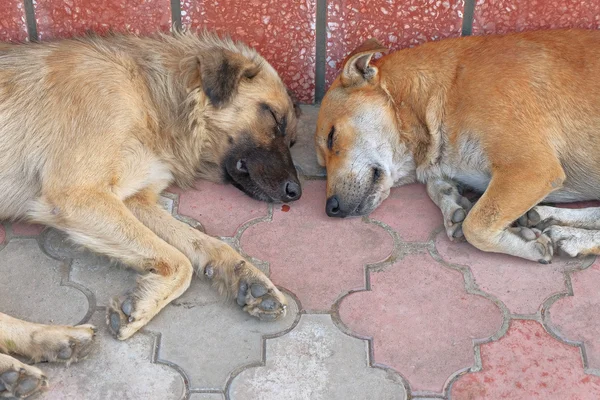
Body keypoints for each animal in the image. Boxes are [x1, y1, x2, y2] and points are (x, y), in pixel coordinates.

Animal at [0, 31, 300, 396]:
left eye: (293, 139)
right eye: (273, 117)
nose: (296, 192)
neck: (151, 97)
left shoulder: (133, 200)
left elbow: (205, 244)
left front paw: (248, 278)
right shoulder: (79, 195)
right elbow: (180, 263)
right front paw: (142, 305)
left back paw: (48, 346)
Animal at [314, 28, 600, 262]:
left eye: (331, 136)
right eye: (321, 164)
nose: (331, 209)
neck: (444, 90)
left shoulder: (532, 169)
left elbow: (475, 226)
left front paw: (526, 244)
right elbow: (438, 188)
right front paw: (452, 203)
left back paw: (572, 237)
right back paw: (558, 223)